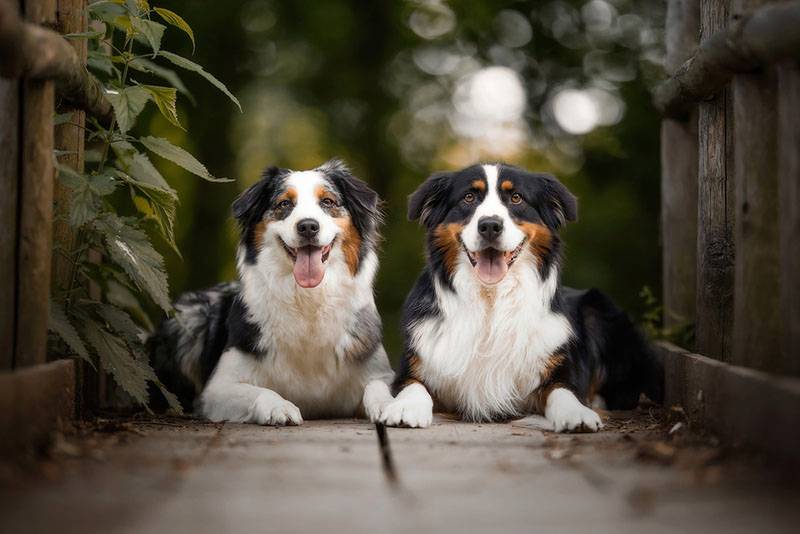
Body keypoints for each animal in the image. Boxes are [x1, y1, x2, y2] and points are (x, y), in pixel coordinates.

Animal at [148, 159, 396, 428]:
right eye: (284, 204)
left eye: (328, 202)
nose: (308, 226)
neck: (309, 301)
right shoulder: (217, 388)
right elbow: (261, 391)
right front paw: (280, 407)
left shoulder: (377, 371)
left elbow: (377, 388)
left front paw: (390, 406)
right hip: (190, 317)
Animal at [378, 162, 664, 432]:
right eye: (469, 197)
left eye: (516, 198)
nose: (490, 225)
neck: (491, 300)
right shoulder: (413, 366)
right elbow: (414, 386)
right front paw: (405, 407)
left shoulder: (558, 370)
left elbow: (564, 391)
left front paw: (577, 413)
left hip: (599, 309)